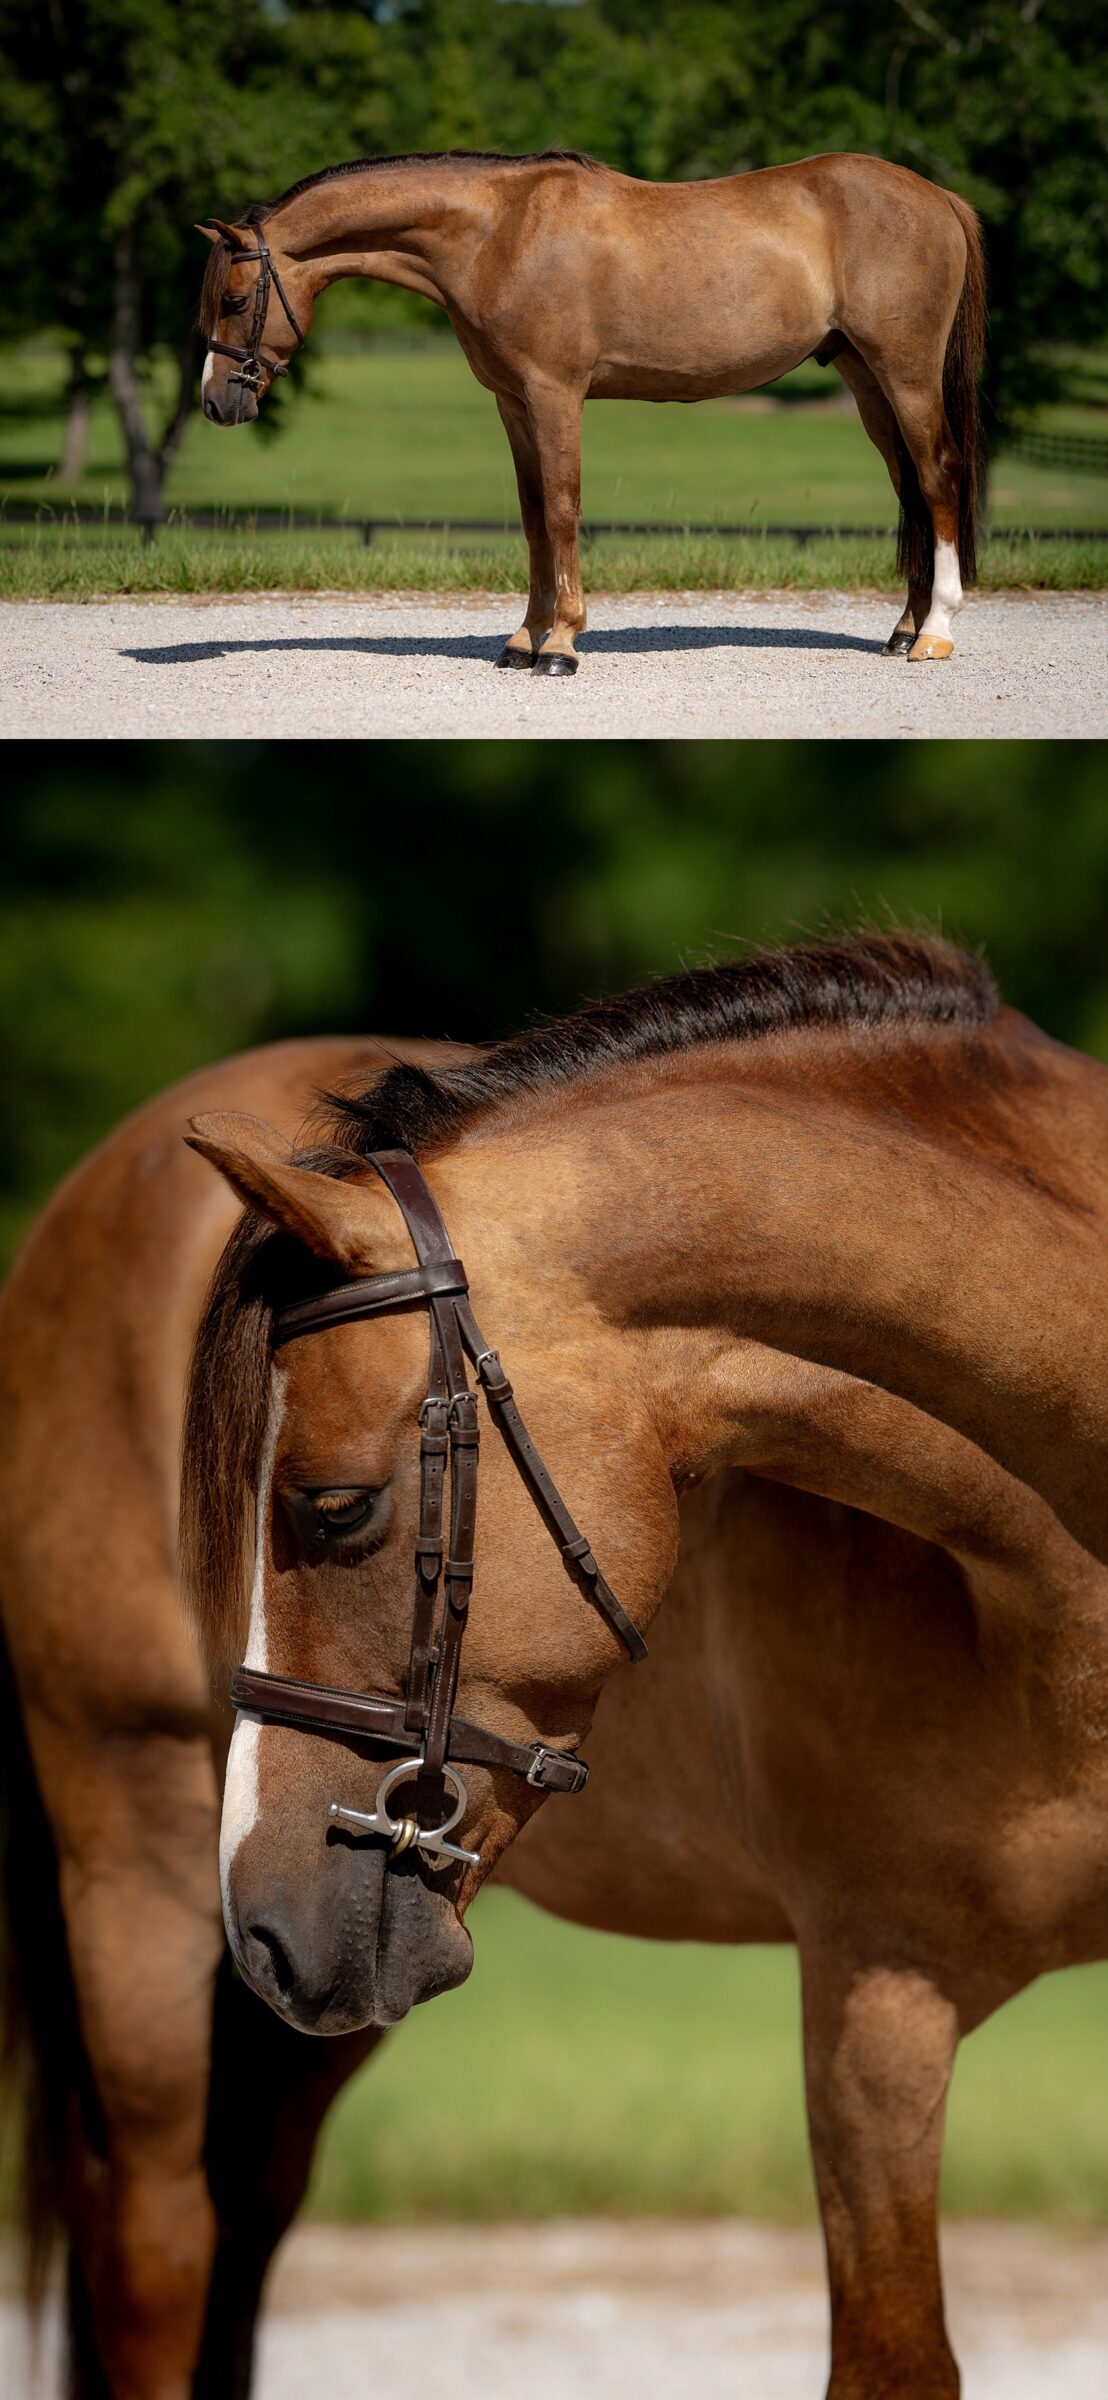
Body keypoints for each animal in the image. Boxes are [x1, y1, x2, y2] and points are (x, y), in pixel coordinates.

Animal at [195, 149, 986, 678]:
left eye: (234, 300)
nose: (215, 400)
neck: (498, 234)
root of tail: (938, 196)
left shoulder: (555, 394)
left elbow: (563, 509)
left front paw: (562, 644)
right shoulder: (513, 402)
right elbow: (531, 516)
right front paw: (523, 639)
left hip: (906, 372)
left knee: (938, 476)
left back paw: (937, 631)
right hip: (864, 376)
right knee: (910, 491)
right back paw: (902, 629)